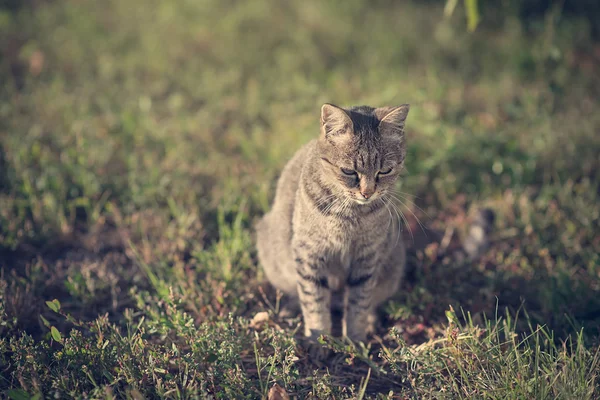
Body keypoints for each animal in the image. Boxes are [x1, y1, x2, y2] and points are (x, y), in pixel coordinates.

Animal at [255, 103, 410, 340]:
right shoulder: (309, 252)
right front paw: (318, 338)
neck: (350, 214)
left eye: (384, 171)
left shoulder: (367, 256)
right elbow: (314, 301)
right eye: (349, 171)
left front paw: (355, 340)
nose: (367, 193)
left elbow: (359, 303)